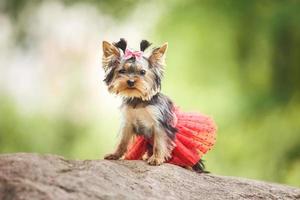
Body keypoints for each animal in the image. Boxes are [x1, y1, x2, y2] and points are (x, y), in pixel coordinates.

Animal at [102, 38, 217, 170]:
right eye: (122, 71)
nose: (130, 81)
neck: (139, 99)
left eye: (142, 72)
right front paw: (115, 154)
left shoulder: (160, 123)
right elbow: (123, 141)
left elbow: (159, 143)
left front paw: (156, 159)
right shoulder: (128, 122)